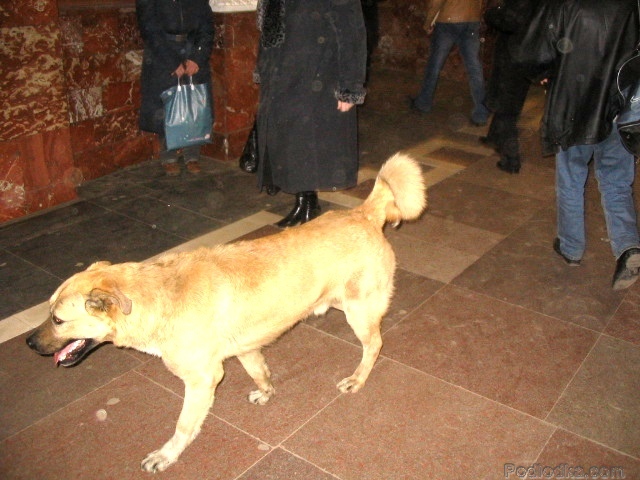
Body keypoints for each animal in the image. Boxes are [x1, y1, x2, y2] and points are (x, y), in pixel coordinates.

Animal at [26, 154, 424, 472]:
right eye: (48, 312)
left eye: (58, 320)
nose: (29, 343)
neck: (158, 296)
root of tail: (363, 213)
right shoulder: (245, 348)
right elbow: (259, 371)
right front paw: (266, 391)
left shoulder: (202, 380)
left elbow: (183, 427)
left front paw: (166, 456)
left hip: (358, 311)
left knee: (374, 345)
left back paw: (357, 379)